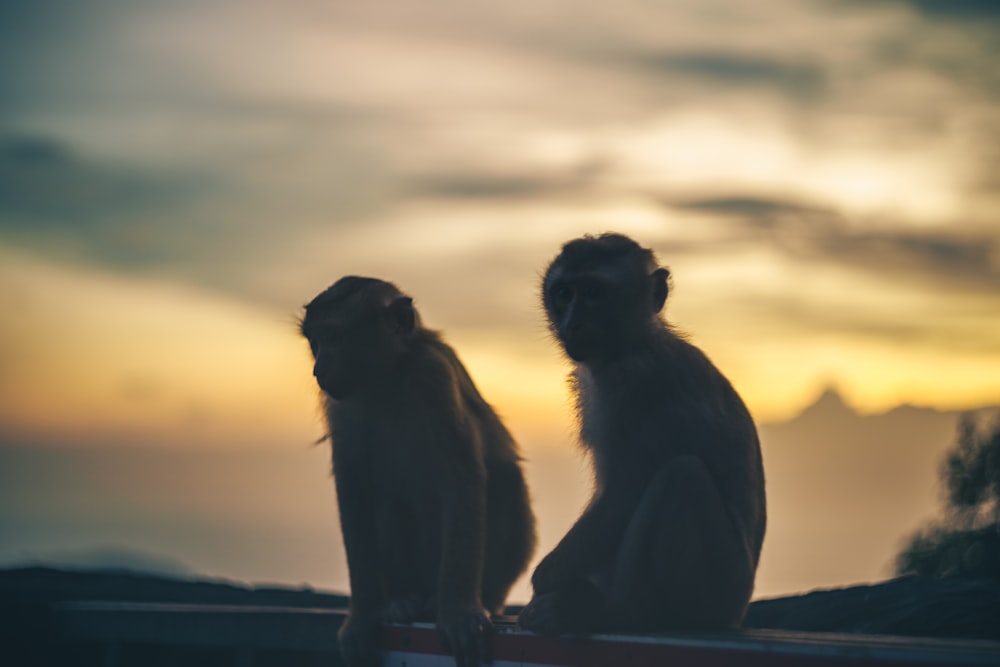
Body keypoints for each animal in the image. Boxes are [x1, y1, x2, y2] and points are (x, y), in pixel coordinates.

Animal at [298, 276, 540, 667]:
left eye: (333, 337)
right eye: (314, 342)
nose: (318, 369)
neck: (387, 380)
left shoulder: (433, 376)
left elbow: (462, 479)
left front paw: (457, 611)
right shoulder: (341, 404)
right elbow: (354, 492)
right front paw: (362, 616)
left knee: (505, 482)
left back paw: (448, 601)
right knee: (387, 502)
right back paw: (403, 599)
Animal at [520, 235, 768, 636]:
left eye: (594, 292)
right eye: (563, 293)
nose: (572, 323)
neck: (637, 341)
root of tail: (738, 614)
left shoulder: (634, 382)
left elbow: (624, 492)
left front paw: (546, 579)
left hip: (717, 588)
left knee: (681, 477)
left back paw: (609, 613)